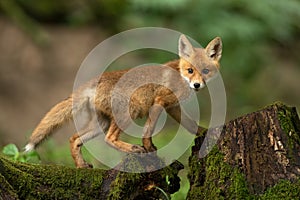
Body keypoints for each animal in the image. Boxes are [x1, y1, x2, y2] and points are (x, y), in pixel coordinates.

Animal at [24, 35, 221, 168]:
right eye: (190, 70)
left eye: (205, 71)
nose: (196, 85)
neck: (180, 75)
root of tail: (94, 81)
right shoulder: (160, 102)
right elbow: (148, 131)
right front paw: (148, 148)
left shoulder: (173, 106)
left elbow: (191, 125)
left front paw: (205, 133)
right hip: (129, 112)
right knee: (109, 139)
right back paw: (133, 149)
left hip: (101, 124)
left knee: (74, 138)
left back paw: (81, 166)